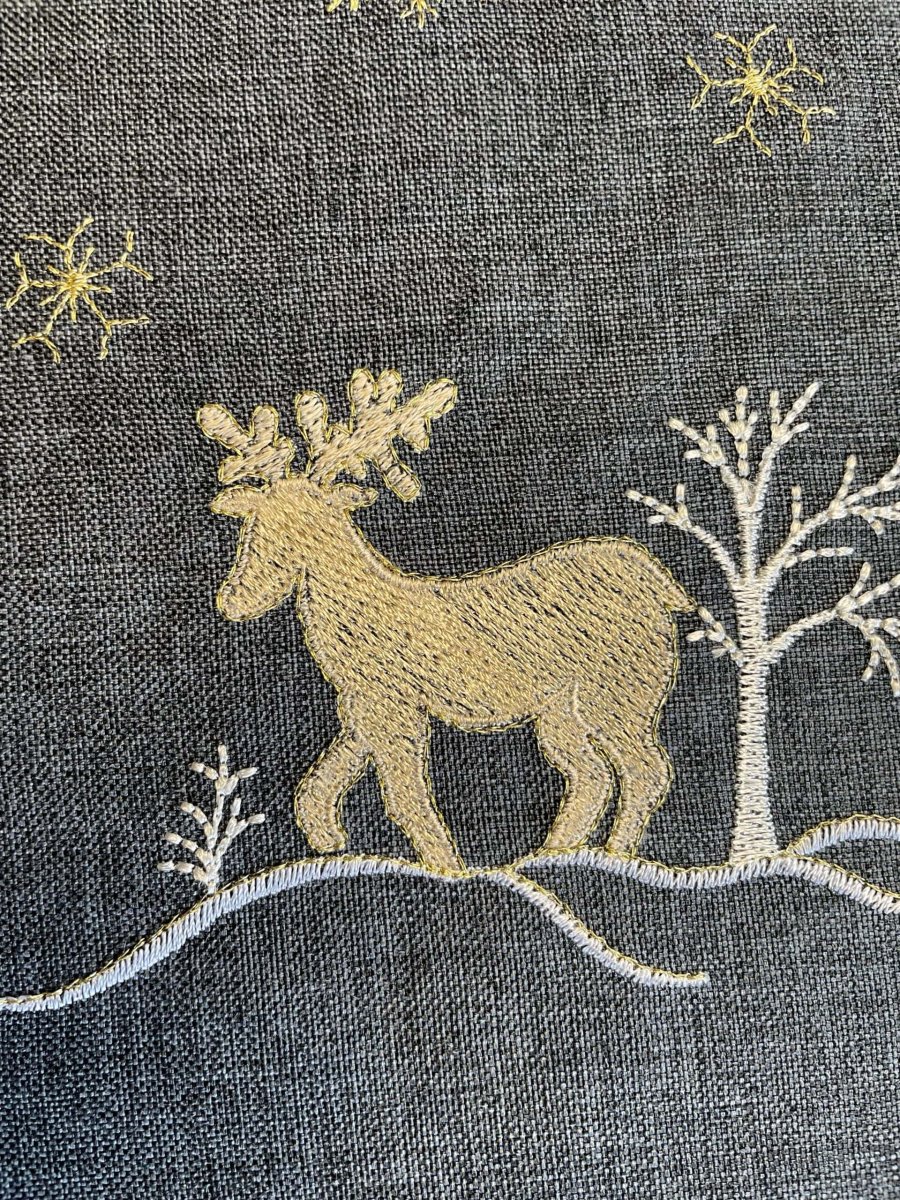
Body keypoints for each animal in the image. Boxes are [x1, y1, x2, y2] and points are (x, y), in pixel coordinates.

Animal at [198, 368, 694, 875]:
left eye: (303, 528)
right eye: (254, 525)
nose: (234, 600)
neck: (359, 606)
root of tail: (656, 582)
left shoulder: (395, 708)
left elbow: (405, 796)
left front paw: (448, 870)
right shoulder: (361, 709)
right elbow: (325, 780)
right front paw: (329, 840)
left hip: (617, 693)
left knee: (645, 770)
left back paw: (616, 857)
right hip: (563, 709)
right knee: (591, 774)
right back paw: (549, 856)